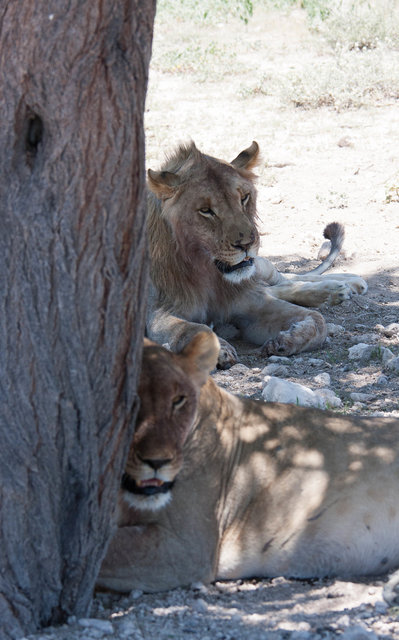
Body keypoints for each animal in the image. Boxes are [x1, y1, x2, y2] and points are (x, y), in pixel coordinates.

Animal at [145, 142, 368, 368]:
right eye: (206, 210)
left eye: (244, 198)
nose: (246, 244)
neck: (210, 275)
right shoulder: (157, 314)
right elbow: (194, 329)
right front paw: (220, 350)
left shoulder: (251, 301)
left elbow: (318, 321)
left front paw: (285, 341)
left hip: (259, 269)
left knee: (282, 279)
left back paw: (346, 284)